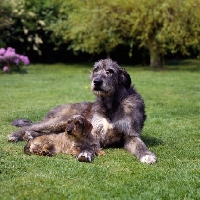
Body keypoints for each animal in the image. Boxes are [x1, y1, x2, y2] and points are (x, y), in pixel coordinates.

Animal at [8, 58, 156, 164]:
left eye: (110, 71)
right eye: (95, 70)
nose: (96, 82)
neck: (111, 104)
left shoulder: (130, 133)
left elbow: (140, 145)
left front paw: (147, 155)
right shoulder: (94, 131)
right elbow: (89, 145)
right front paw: (85, 153)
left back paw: (30, 135)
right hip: (61, 120)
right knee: (33, 126)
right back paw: (17, 135)